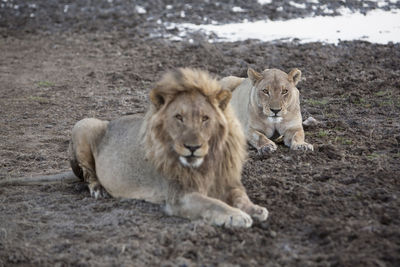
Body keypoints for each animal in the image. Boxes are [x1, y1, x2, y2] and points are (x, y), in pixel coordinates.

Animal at [69, 68, 268, 228]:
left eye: (205, 118)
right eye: (179, 117)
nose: (192, 147)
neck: (207, 162)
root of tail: (109, 122)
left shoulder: (228, 182)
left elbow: (241, 197)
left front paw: (255, 209)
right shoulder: (179, 196)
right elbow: (213, 203)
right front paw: (237, 216)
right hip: (85, 124)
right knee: (88, 174)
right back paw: (98, 190)